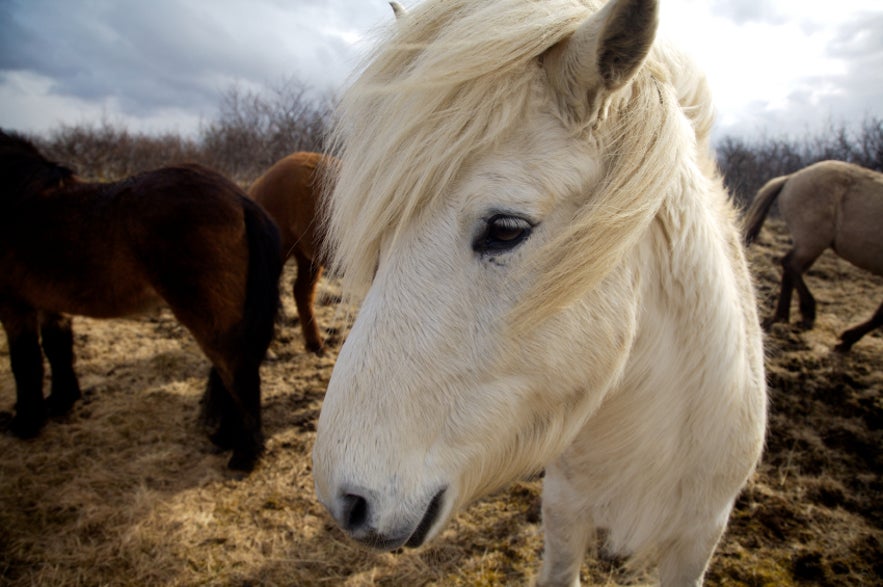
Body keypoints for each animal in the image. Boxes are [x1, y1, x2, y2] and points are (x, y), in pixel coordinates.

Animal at [0, 131, 282, 470]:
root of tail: (241, 199)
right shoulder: (50, 306)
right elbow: (58, 351)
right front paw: (59, 402)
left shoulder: (14, 306)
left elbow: (25, 362)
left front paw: (25, 424)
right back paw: (226, 438)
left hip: (211, 319)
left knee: (238, 374)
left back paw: (243, 456)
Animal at [744, 161, 883, 352]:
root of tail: (791, 177)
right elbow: (881, 314)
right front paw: (847, 339)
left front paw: (848, 339)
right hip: (812, 242)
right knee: (790, 264)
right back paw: (807, 313)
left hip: (812, 245)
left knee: (791, 269)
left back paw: (782, 317)